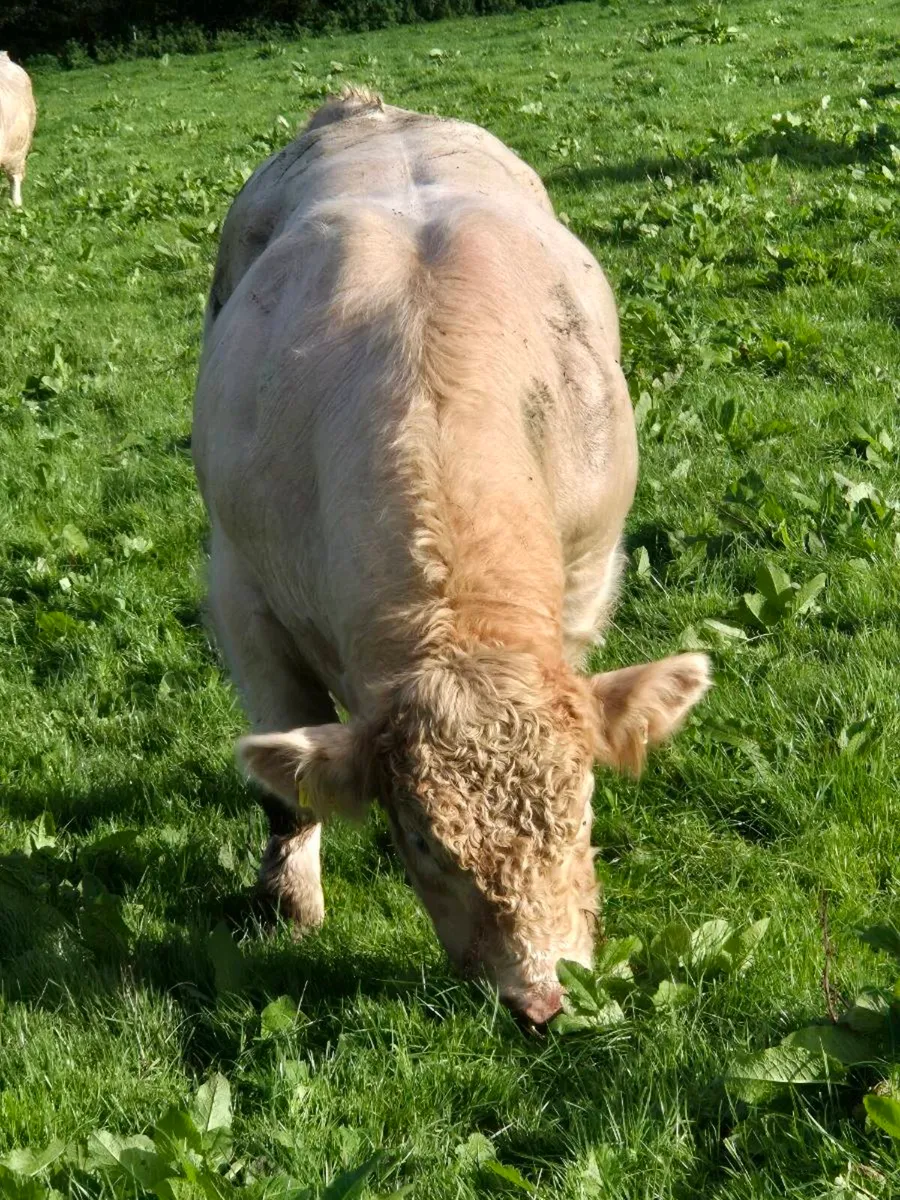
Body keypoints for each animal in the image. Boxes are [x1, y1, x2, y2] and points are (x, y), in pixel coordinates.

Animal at [192, 88, 710, 1025]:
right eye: (426, 843)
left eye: (585, 807)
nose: (544, 999)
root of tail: (366, 106)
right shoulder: (242, 595)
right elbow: (284, 788)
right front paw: (290, 905)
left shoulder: (584, 580)